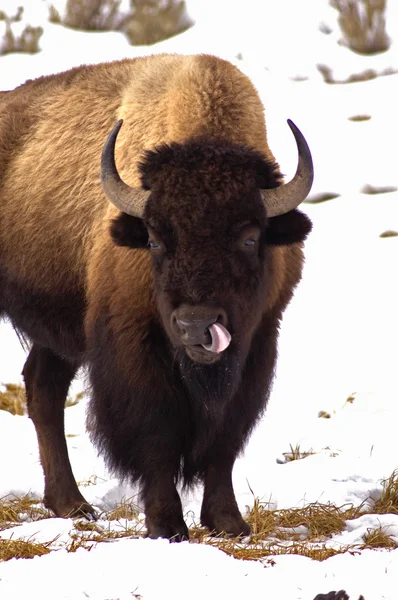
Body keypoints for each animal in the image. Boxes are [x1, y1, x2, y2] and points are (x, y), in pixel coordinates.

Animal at [0, 52, 312, 540]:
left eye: (249, 237)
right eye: (154, 239)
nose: (197, 327)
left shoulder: (258, 341)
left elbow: (225, 438)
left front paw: (228, 522)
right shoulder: (131, 344)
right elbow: (156, 433)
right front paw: (166, 525)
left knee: (43, 389)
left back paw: (72, 505)